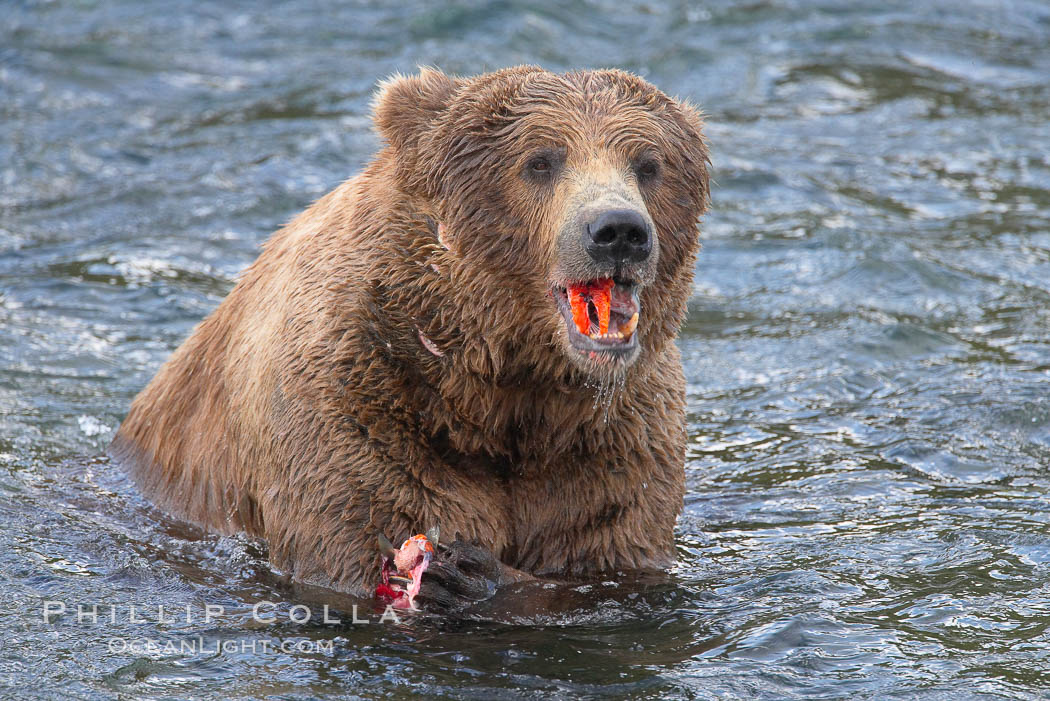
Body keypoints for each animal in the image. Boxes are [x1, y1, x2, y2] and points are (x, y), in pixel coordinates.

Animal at [108, 64, 713, 604]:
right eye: (540, 161)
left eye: (649, 164)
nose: (618, 231)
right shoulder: (353, 404)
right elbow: (354, 534)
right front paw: (452, 570)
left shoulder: (612, 443)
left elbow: (610, 562)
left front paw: (468, 571)